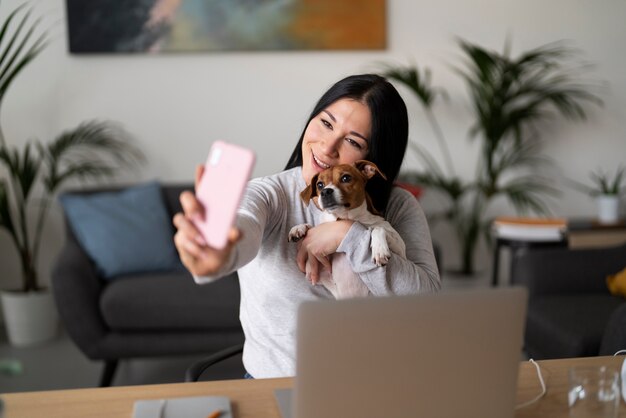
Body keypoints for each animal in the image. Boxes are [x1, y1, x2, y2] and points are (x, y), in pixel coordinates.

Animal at [286, 158, 404, 298]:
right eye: (320, 185)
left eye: (346, 178)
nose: (325, 191)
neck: (347, 217)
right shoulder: (321, 268)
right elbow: (312, 226)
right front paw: (299, 228)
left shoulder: (401, 249)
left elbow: (378, 228)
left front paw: (379, 249)